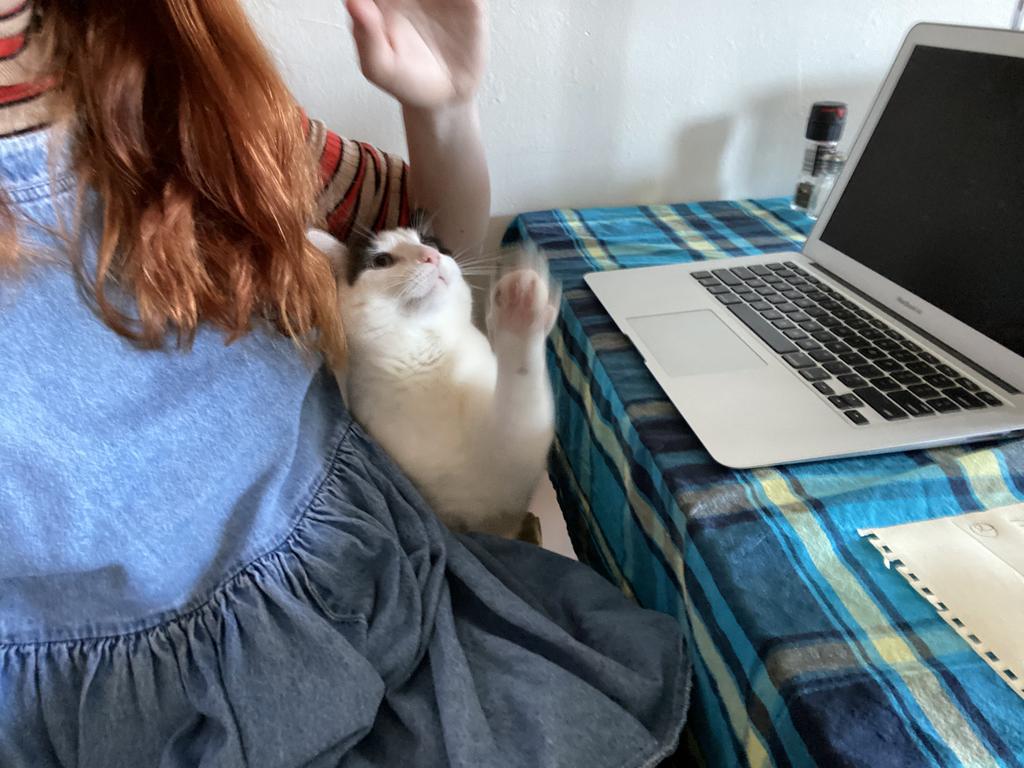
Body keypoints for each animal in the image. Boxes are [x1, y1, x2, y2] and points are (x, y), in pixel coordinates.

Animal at [307, 228, 557, 536]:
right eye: (381, 260)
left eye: (429, 242)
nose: (431, 256)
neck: (431, 355)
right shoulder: (491, 489)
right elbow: (520, 401)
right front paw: (517, 309)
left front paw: (525, 301)